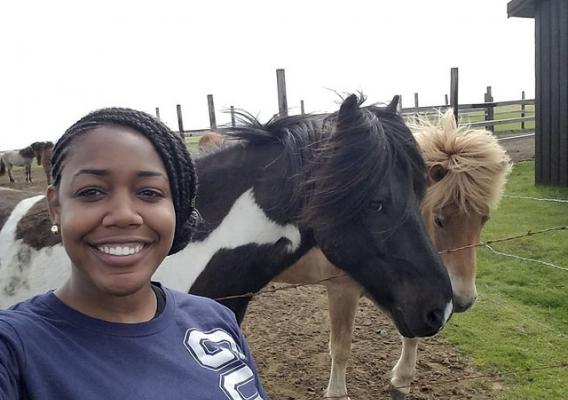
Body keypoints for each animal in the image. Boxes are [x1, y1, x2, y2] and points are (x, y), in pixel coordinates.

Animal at [272, 108, 512, 398]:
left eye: (484, 219)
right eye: (440, 220)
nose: (463, 300)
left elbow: (411, 332)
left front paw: (401, 380)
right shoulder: (343, 291)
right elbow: (341, 348)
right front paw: (337, 392)